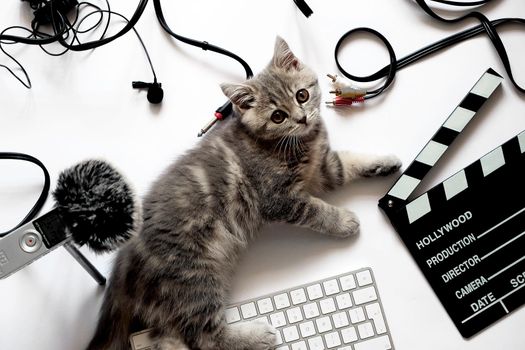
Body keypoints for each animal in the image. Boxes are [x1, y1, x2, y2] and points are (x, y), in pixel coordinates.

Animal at [87, 38, 402, 350]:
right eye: (278, 116)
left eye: (301, 95)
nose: (301, 119)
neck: (296, 142)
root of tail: (125, 259)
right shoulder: (278, 200)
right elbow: (315, 210)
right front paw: (343, 221)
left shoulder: (323, 169)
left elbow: (347, 163)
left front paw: (383, 162)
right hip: (194, 277)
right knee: (203, 336)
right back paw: (257, 335)